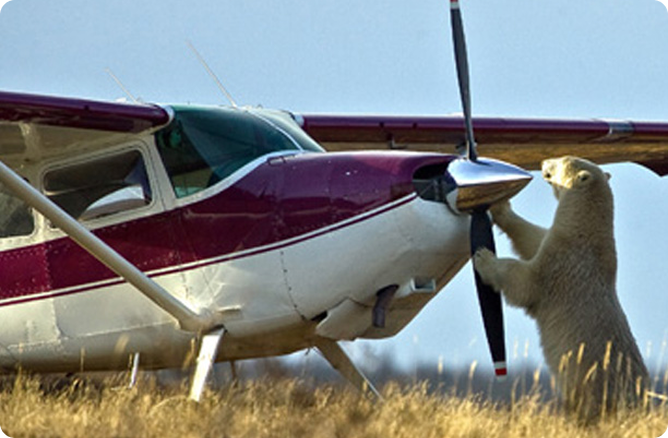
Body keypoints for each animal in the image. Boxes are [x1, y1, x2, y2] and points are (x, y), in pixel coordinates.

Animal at [473, 156, 648, 422]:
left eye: (562, 160)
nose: (544, 161)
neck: (587, 234)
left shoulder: (563, 263)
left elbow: (525, 282)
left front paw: (484, 257)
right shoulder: (558, 242)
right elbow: (532, 238)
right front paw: (501, 207)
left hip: (594, 387)